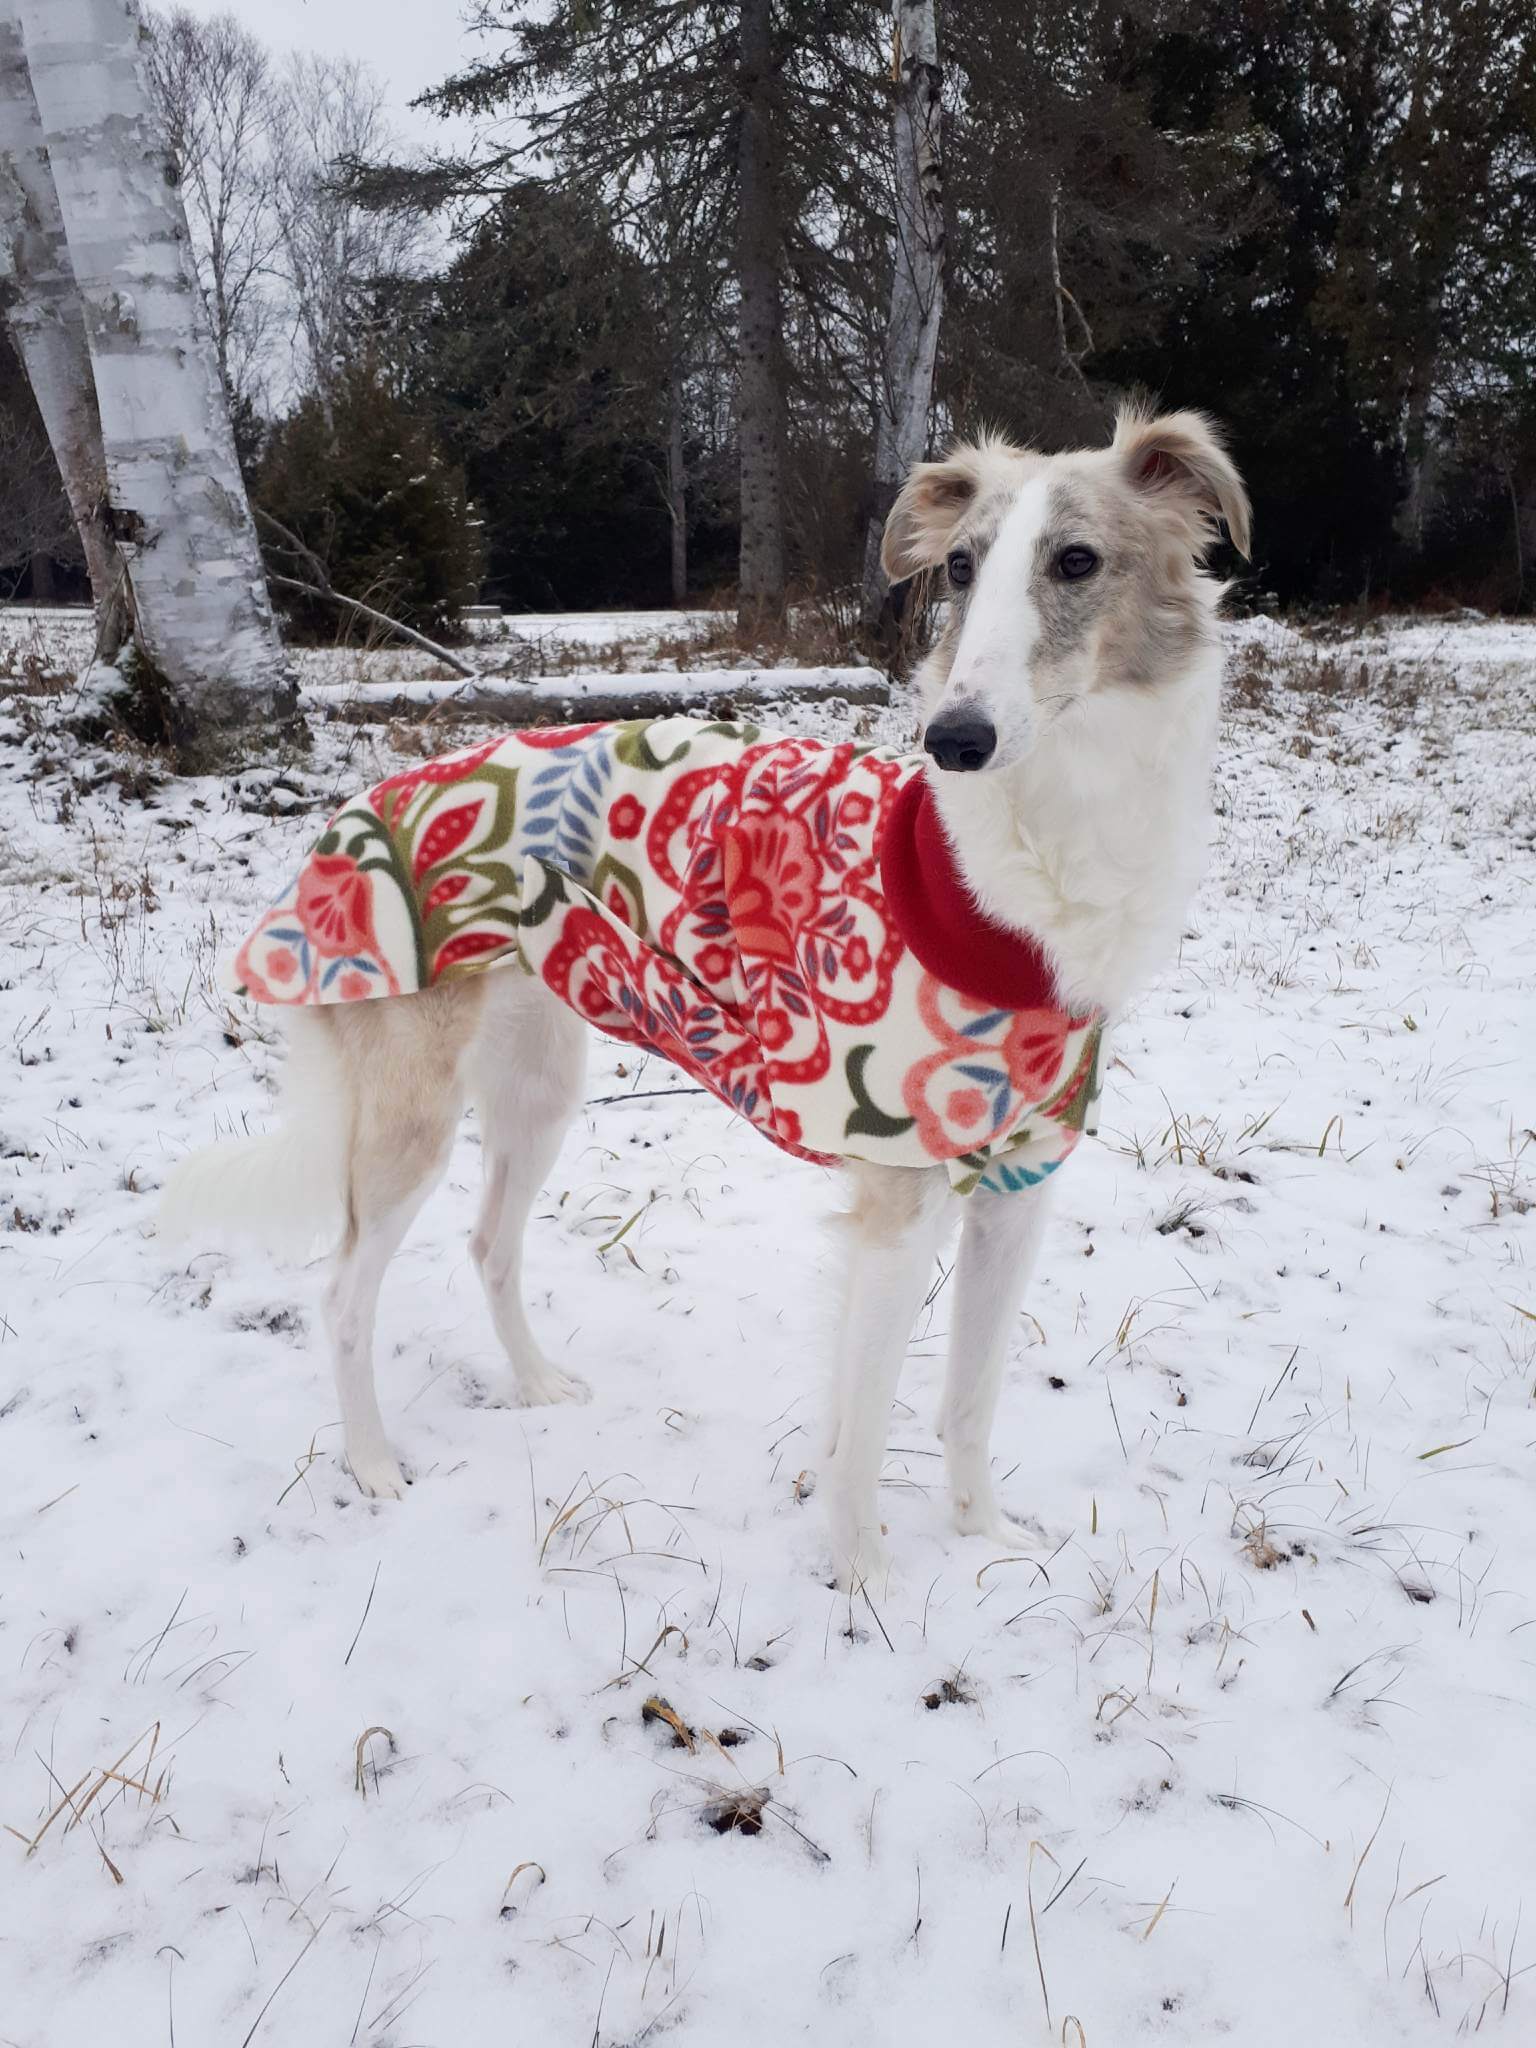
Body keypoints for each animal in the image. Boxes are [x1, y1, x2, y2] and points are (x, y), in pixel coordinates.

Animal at [165, 407, 1253, 1572]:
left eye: (1078, 560)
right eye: (962, 566)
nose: (955, 740)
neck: (1030, 865)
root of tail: (350, 813)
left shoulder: (1020, 1184)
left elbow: (968, 1399)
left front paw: (987, 1542)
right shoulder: (898, 1200)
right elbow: (864, 1436)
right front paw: (868, 1586)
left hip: (539, 1087)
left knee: (489, 1244)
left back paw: (537, 1384)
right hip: (411, 1118)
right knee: (340, 1293)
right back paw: (371, 1463)